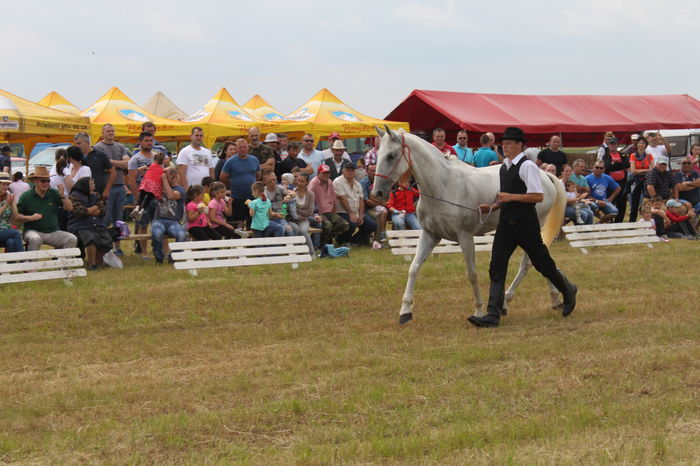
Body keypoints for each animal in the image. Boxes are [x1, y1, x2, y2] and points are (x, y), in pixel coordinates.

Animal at [370, 126, 567, 324]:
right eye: (377, 155)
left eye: (391, 155)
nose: (377, 193)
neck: (444, 187)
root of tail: (543, 174)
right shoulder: (429, 235)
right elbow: (414, 268)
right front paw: (405, 312)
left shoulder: (465, 237)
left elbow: (471, 274)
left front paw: (478, 311)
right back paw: (555, 299)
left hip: (531, 228)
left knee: (529, 263)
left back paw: (508, 302)